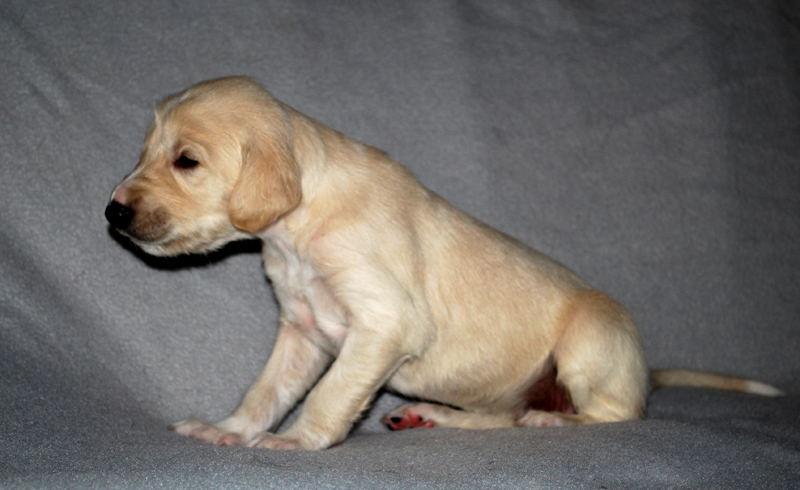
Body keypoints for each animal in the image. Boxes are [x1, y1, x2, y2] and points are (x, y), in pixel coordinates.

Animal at [105, 77, 782, 450]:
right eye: (145, 152)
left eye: (187, 161)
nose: (111, 212)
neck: (297, 229)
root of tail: (644, 373)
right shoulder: (302, 331)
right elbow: (267, 389)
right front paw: (230, 428)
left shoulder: (385, 323)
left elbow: (327, 394)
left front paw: (295, 441)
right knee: (501, 420)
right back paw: (434, 416)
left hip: (592, 336)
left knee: (613, 415)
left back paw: (553, 422)